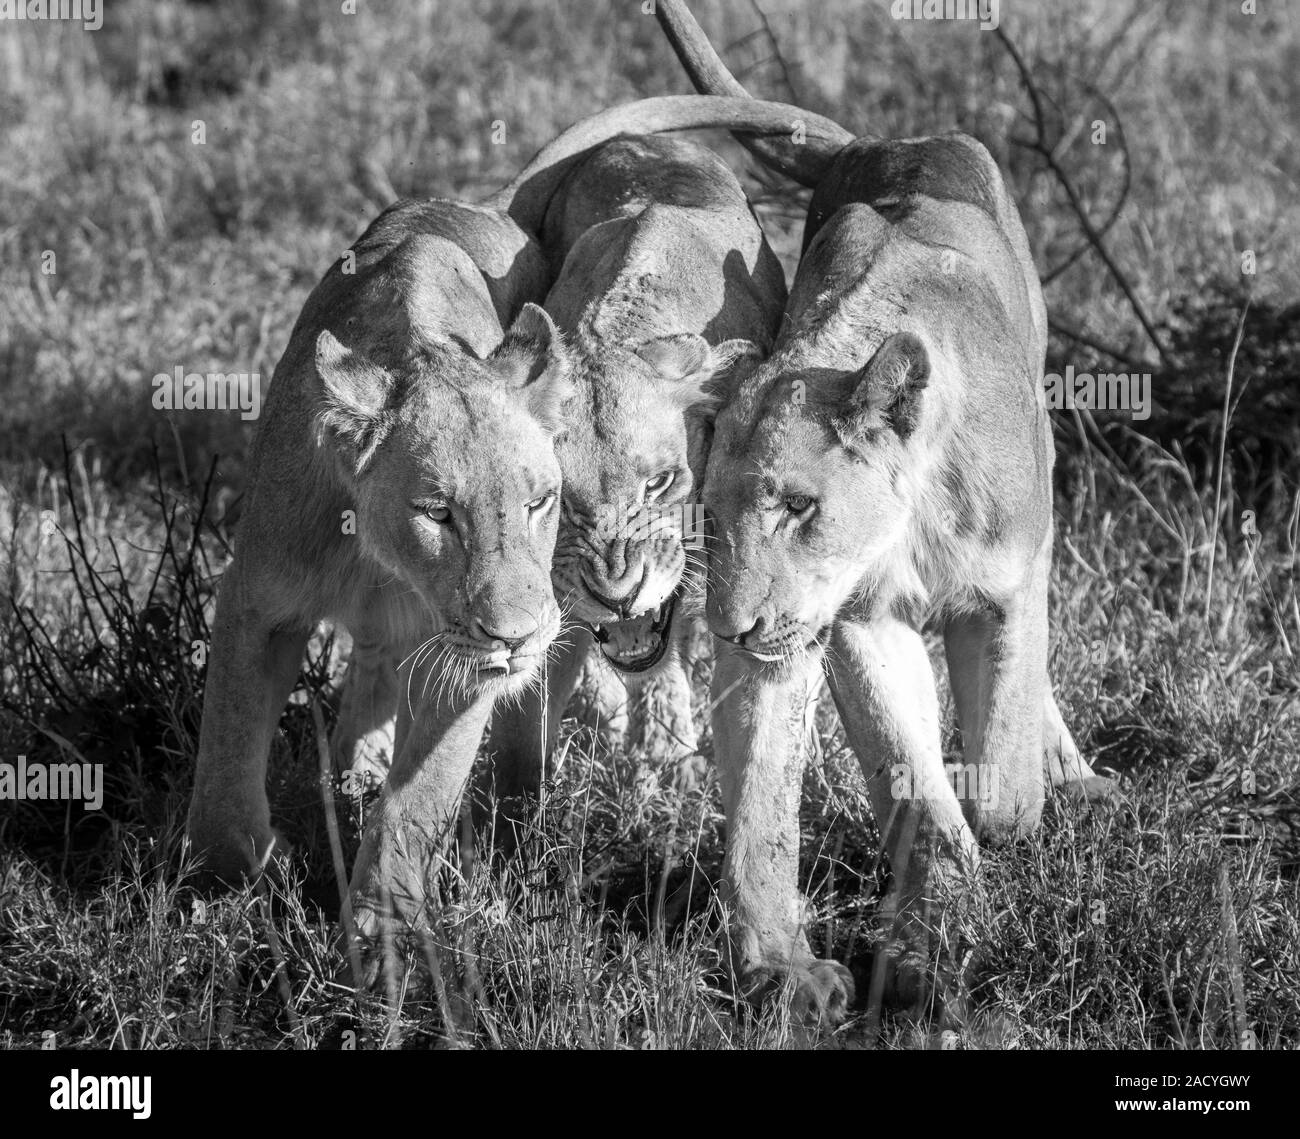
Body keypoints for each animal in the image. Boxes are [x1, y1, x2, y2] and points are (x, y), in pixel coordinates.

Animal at [656, 0, 1116, 1020]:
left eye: (798, 506)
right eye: (713, 514)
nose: (732, 628)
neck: (913, 518)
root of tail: (884, 141)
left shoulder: (1012, 584)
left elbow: (1002, 766)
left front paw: (1007, 806)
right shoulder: (861, 619)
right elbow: (907, 771)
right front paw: (922, 930)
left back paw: (1071, 779)